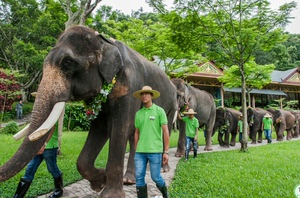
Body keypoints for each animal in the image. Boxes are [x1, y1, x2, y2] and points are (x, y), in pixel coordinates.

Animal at [0, 25, 178, 198]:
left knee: (165, 128)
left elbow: (120, 129)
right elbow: (100, 128)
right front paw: (100, 182)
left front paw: (110, 195)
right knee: (135, 136)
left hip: (172, 105)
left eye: (68, 62)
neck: (105, 41)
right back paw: (129, 180)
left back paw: (163, 169)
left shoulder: (130, 87)